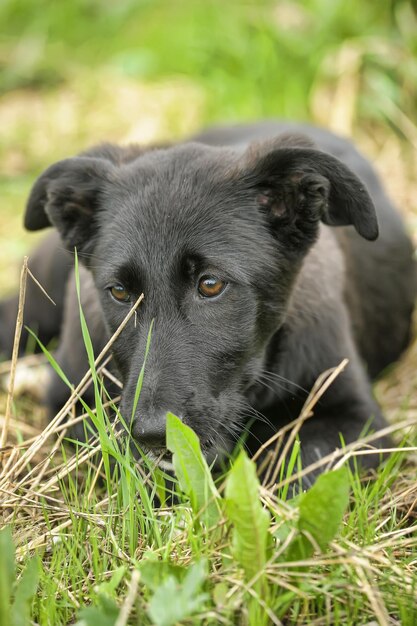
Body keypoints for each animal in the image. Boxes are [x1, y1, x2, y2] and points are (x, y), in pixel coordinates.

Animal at [1, 120, 414, 482]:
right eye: (119, 292)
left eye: (211, 284)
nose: (154, 435)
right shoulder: (71, 403)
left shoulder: (354, 419)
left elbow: (299, 476)